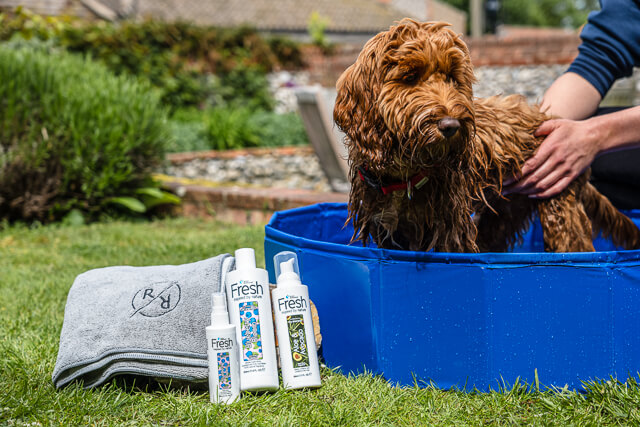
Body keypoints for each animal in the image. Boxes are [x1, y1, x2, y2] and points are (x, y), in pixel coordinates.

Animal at [336, 20, 640, 252]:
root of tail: (548, 118)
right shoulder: (390, 229)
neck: (405, 175)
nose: (450, 125)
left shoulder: (450, 229)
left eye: (452, 77)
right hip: (505, 212)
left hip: (559, 207)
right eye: (410, 76)